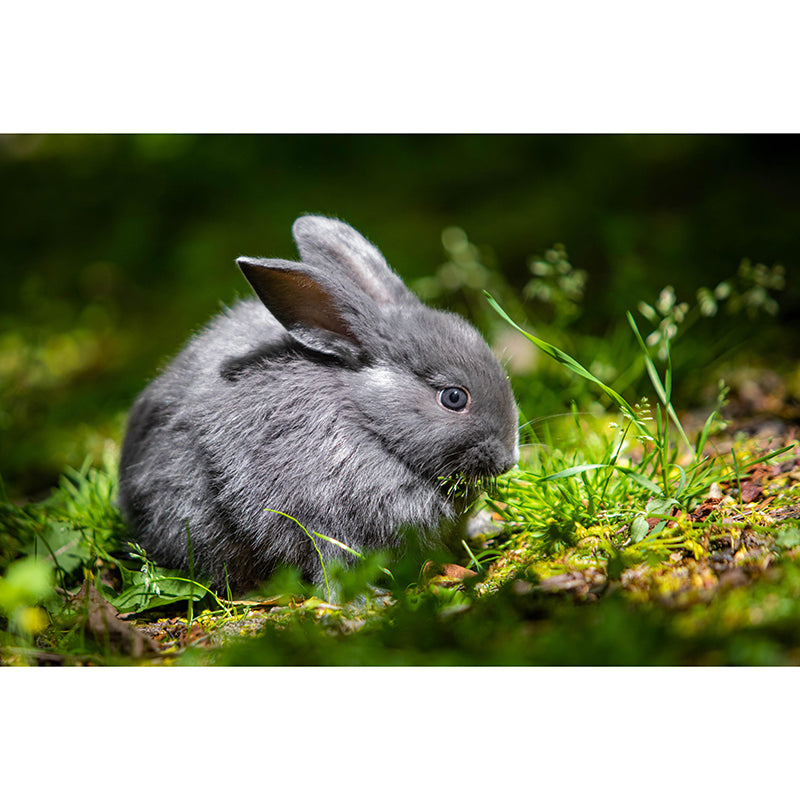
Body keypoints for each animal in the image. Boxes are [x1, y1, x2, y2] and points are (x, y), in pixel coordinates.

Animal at [117, 215, 520, 595]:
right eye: (454, 397)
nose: (508, 460)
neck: (367, 422)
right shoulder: (314, 518)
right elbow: (328, 564)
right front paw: (365, 600)